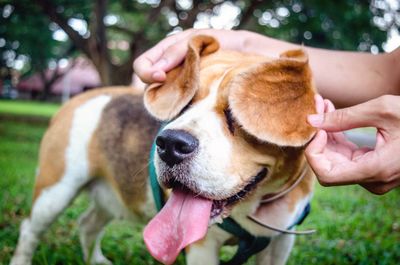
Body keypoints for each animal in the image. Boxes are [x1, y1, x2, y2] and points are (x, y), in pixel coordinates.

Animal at [10, 35, 316, 264]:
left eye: (236, 112)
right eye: (184, 103)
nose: (170, 145)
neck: (256, 204)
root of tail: (78, 99)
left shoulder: (281, 243)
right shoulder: (202, 248)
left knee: (88, 224)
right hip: (55, 191)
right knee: (29, 230)